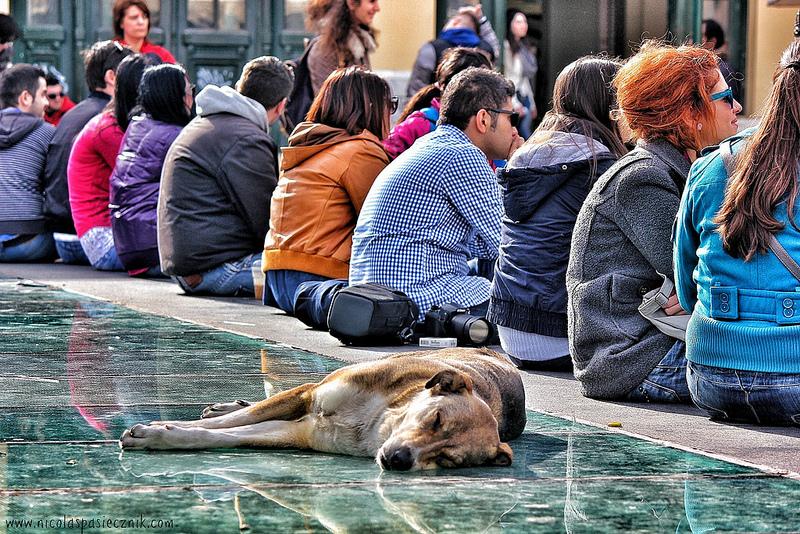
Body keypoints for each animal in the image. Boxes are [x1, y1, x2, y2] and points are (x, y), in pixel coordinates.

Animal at [119, 350, 524, 472]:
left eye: (448, 460)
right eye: (435, 418)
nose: (399, 460)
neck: (376, 424)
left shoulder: (302, 431)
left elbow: (227, 436)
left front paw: (163, 436)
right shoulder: (309, 396)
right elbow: (235, 421)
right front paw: (163, 426)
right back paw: (228, 403)